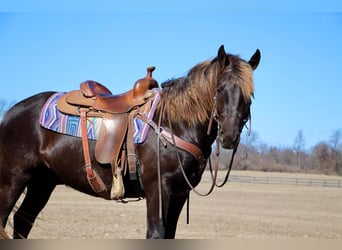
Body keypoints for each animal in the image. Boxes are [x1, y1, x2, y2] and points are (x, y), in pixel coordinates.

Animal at [0, 45, 260, 238]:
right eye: (220, 88)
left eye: (251, 94)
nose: (229, 137)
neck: (174, 124)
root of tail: (10, 113)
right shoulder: (159, 189)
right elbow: (156, 234)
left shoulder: (179, 194)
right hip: (14, 178)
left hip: (42, 182)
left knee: (23, 220)